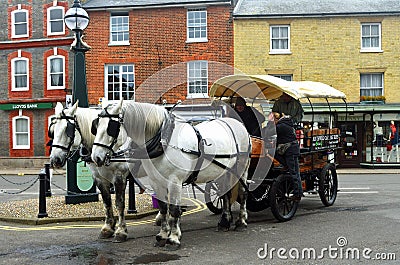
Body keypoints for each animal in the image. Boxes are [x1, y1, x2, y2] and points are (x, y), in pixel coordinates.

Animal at [48, 101, 134, 241]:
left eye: (68, 130)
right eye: (53, 130)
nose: (55, 159)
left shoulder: (119, 177)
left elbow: (119, 203)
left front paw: (121, 231)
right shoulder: (99, 178)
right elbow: (107, 201)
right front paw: (108, 228)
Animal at [92, 100, 252, 249]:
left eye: (111, 127)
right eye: (96, 126)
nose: (96, 157)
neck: (163, 141)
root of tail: (237, 123)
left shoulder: (175, 181)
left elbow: (174, 210)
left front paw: (173, 238)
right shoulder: (156, 181)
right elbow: (163, 208)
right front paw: (162, 235)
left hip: (242, 167)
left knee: (242, 193)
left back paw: (241, 222)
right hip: (225, 171)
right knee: (225, 194)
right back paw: (224, 222)